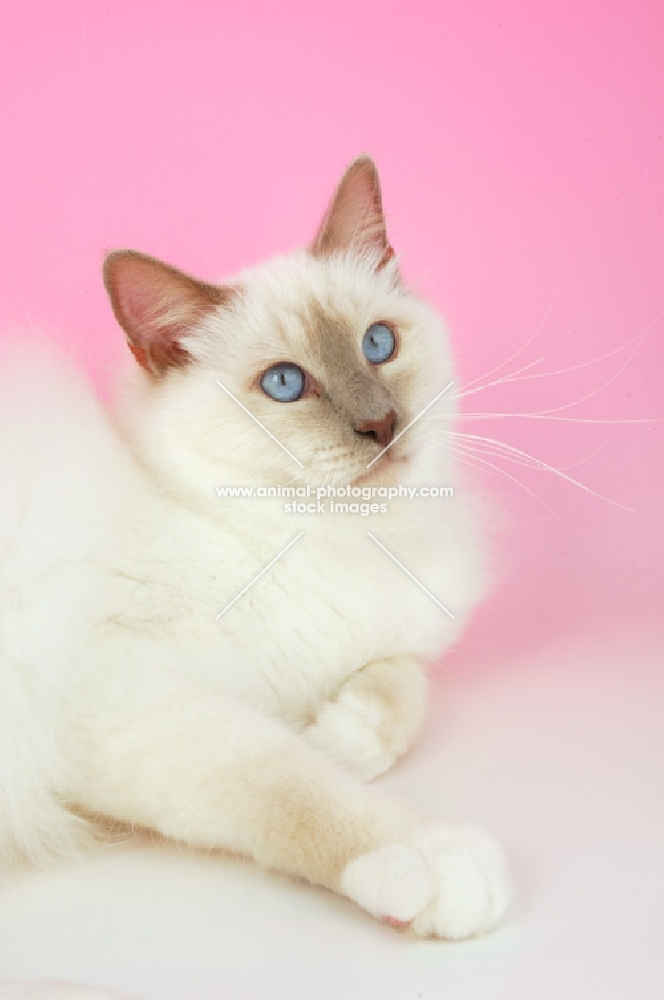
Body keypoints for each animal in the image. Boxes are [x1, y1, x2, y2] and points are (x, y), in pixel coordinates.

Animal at [0, 154, 512, 992]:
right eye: (284, 385)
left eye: (378, 344)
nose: (381, 424)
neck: (332, 541)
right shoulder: (125, 706)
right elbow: (292, 787)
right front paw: (430, 863)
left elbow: (401, 686)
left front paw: (346, 733)